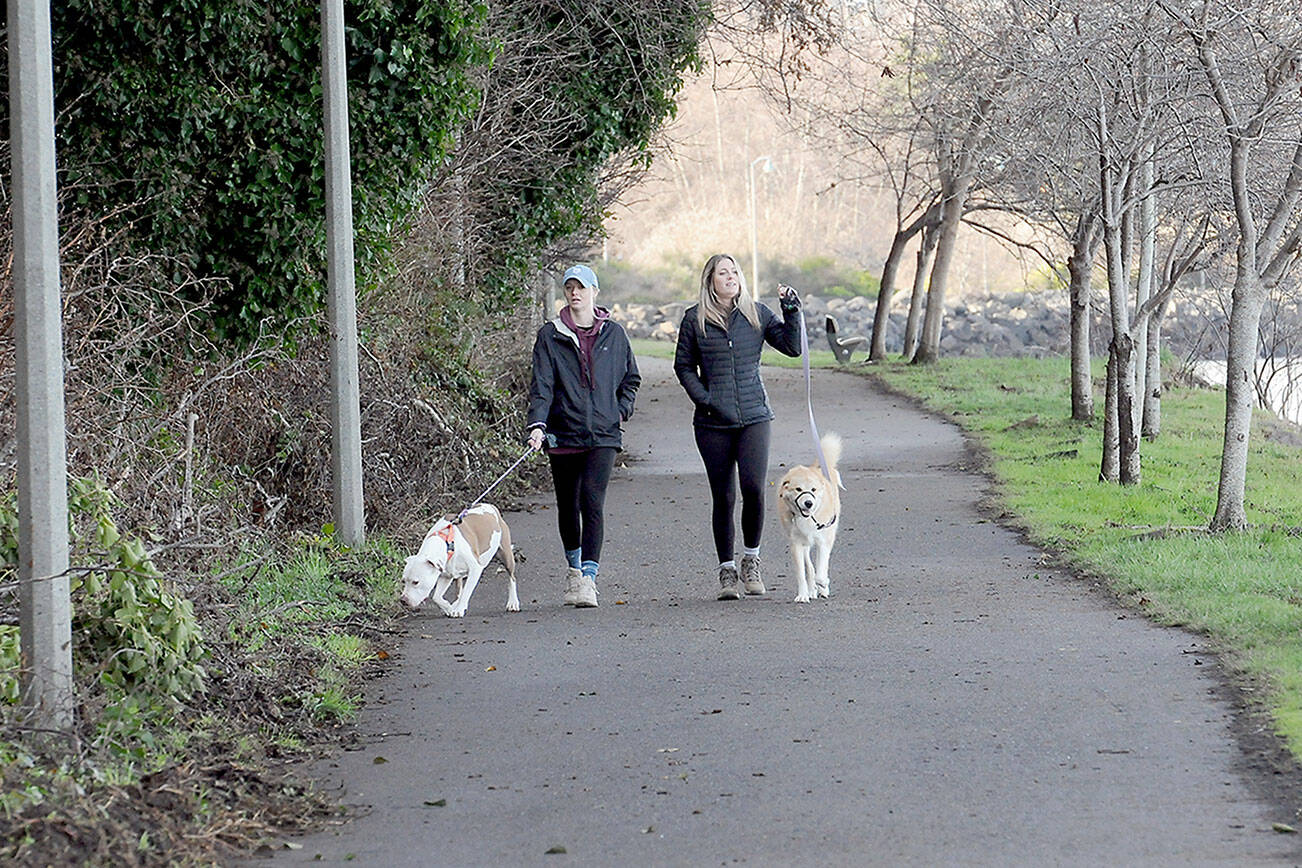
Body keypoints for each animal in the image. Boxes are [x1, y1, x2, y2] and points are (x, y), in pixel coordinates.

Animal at [770, 434, 843, 603]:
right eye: (798, 489)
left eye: (813, 490)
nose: (808, 503)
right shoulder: (796, 544)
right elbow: (802, 573)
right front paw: (803, 594)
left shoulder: (823, 541)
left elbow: (822, 571)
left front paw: (823, 584)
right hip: (804, 545)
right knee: (809, 567)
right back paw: (812, 590)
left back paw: (822, 589)